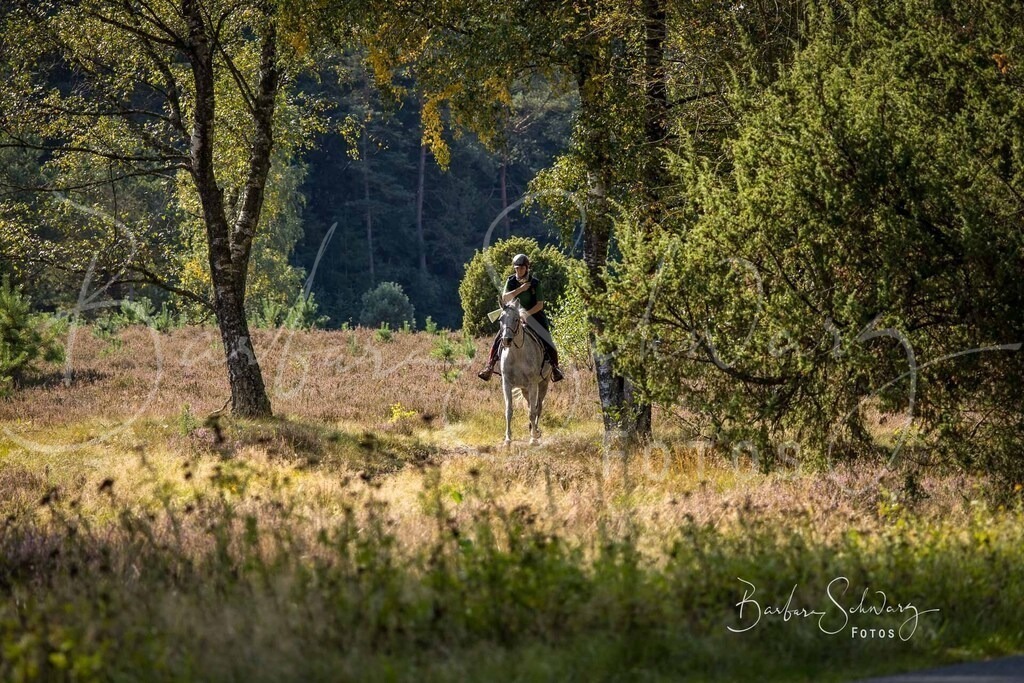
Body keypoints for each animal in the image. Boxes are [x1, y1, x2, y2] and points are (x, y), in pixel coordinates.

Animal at [497, 300, 550, 445]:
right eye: (500, 319)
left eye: (516, 319)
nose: (506, 340)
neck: (518, 354)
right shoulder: (506, 384)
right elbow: (509, 411)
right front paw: (508, 439)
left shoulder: (533, 384)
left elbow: (532, 412)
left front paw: (533, 439)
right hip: (525, 389)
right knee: (530, 405)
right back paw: (532, 428)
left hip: (543, 383)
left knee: (538, 407)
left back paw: (535, 431)